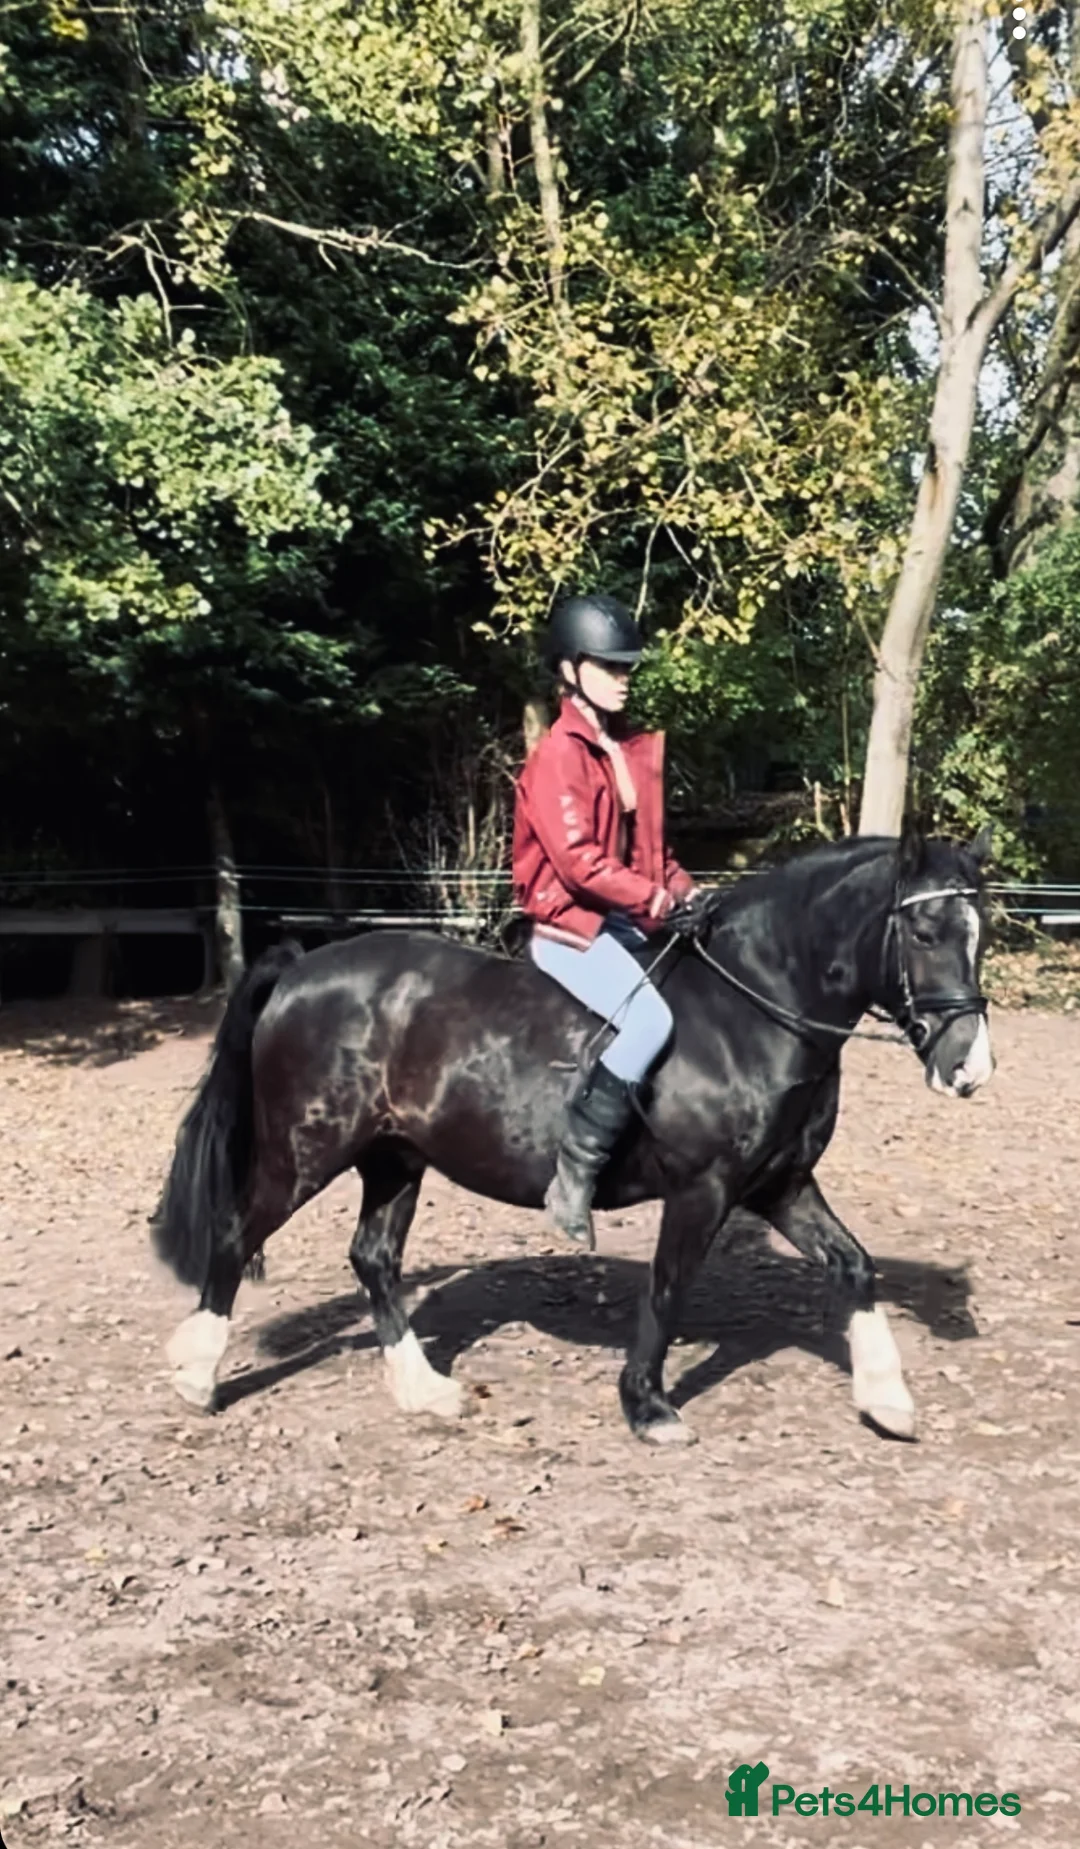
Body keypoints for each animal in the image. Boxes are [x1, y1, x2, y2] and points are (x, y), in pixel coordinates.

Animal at [152, 826, 994, 1444]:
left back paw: (423, 1389)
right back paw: (195, 1375)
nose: (970, 1066)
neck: (753, 1008)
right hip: (306, 1151)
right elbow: (668, 1288)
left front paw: (887, 1401)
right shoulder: (704, 1189)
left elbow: (854, 1265)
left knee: (374, 1259)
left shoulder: (780, 1183)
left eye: (983, 934)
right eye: (924, 930)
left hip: (395, 1158)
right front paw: (648, 1406)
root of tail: (302, 968)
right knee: (234, 1235)